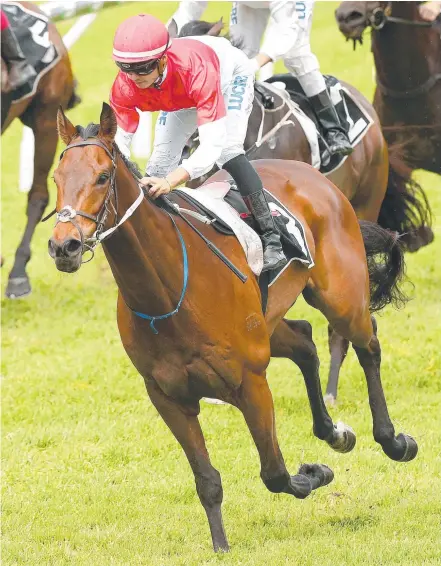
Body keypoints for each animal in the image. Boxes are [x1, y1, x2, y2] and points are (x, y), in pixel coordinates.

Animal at [49, 103, 416, 556]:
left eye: (102, 177)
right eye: (57, 178)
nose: (63, 246)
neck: (168, 291)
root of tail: (316, 178)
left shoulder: (250, 381)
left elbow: (275, 473)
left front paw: (316, 473)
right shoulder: (168, 397)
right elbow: (207, 480)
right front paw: (220, 545)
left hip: (342, 299)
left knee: (368, 344)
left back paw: (393, 440)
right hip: (269, 322)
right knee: (304, 341)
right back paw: (333, 431)